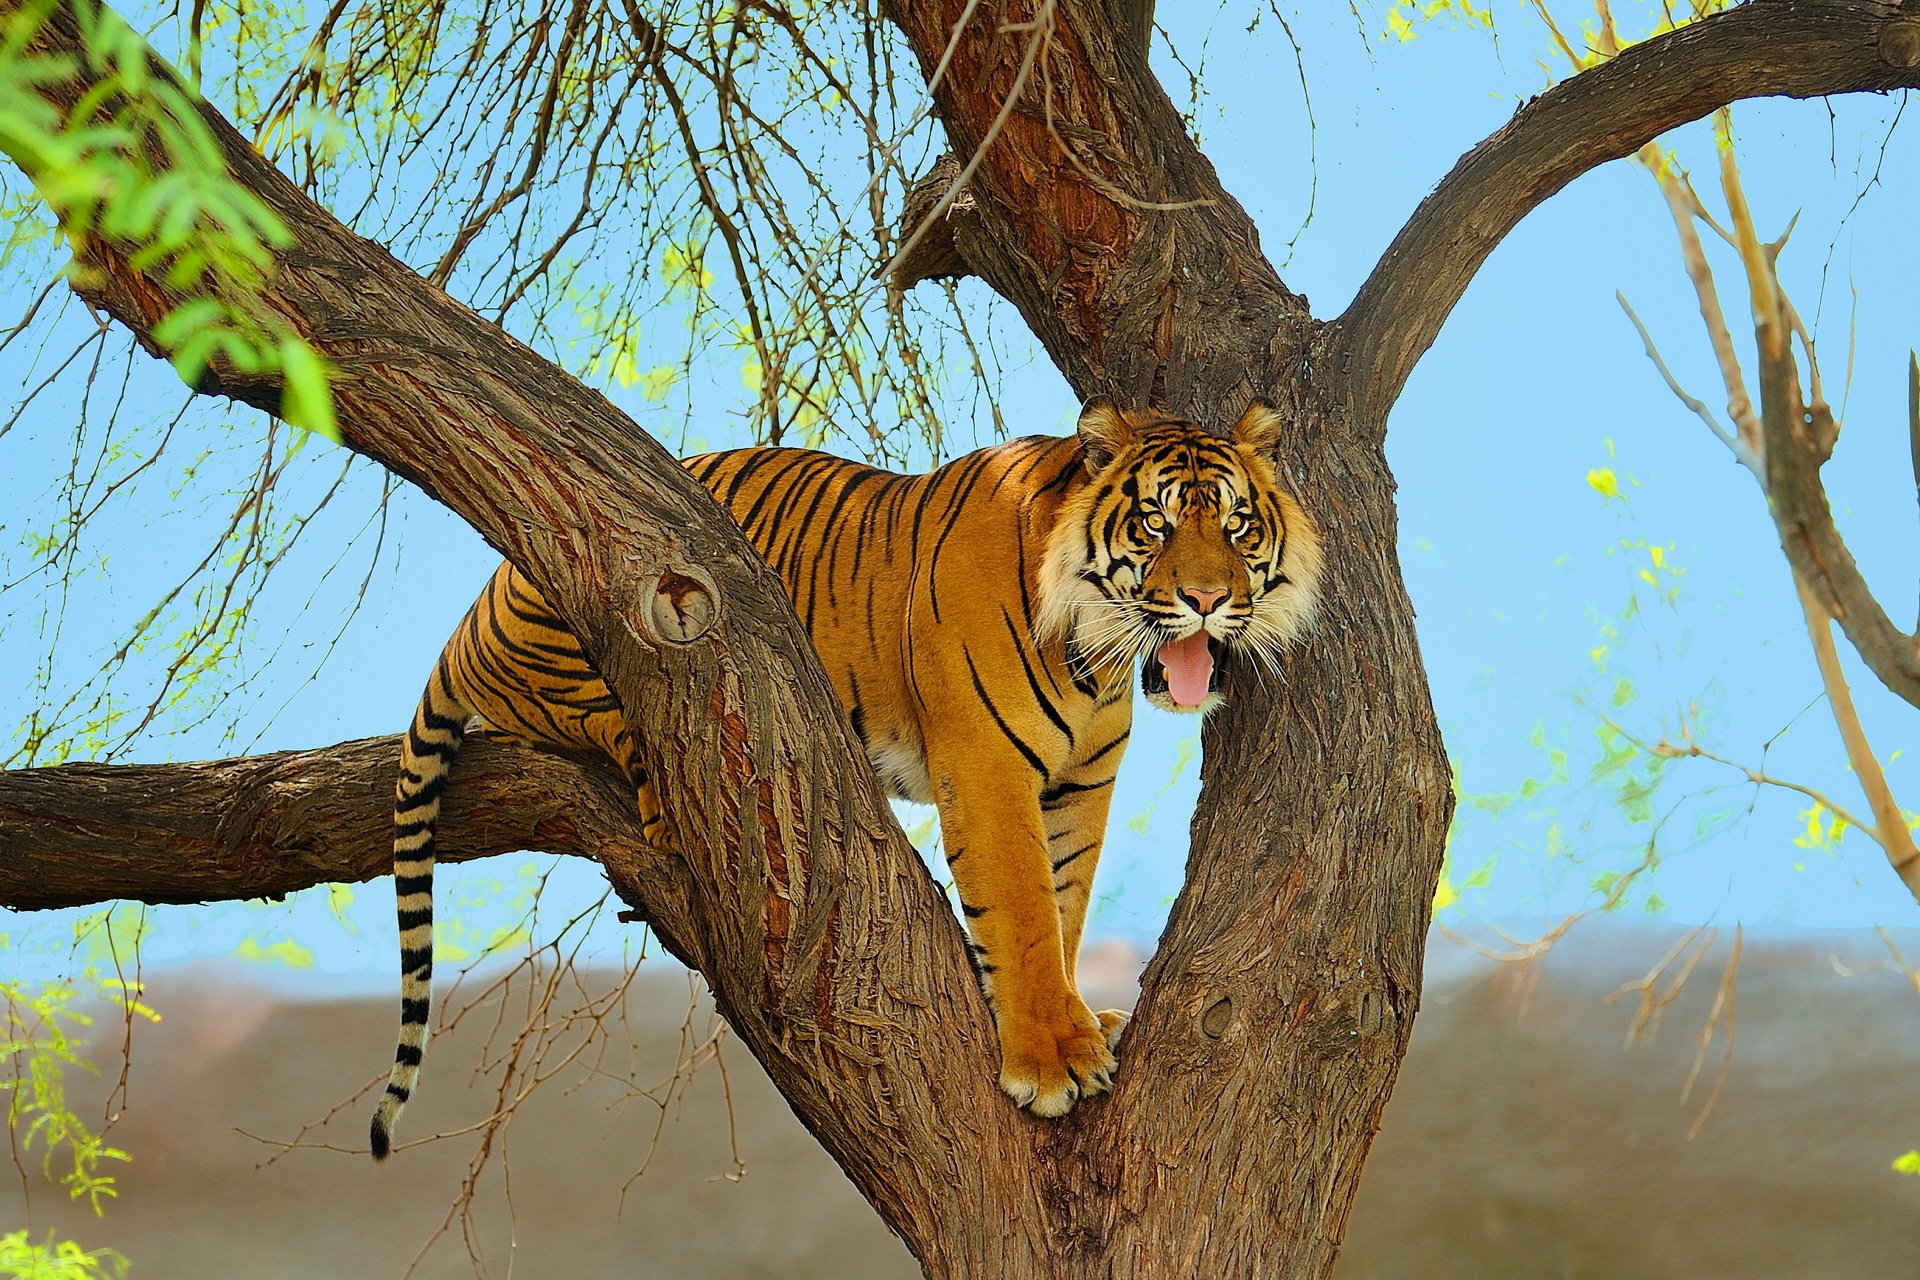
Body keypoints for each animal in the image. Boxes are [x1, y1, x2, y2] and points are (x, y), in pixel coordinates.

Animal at [370, 396, 1322, 1159]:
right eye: (1155, 523)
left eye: (1237, 525)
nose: (1207, 600)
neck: (1095, 657)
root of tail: (470, 615)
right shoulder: (987, 764)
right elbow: (1020, 909)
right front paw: (1052, 1057)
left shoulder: (1077, 788)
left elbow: (1063, 908)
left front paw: (1079, 1020)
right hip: (605, 621)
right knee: (593, 717)